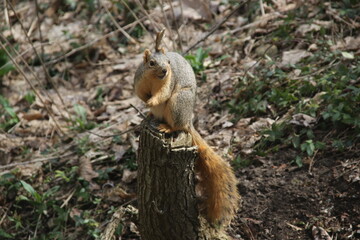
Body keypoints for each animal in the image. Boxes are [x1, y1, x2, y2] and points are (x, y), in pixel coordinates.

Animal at [134, 29, 240, 225]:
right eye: (151, 63)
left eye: (168, 62)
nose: (164, 70)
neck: (154, 79)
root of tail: (188, 121)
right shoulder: (139, 81)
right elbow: (139, 93)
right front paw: (146, 101)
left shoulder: (168, 83)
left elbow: (163, 94)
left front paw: (152, 100)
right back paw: (148, 117)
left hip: (178, 103)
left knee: (178, 126)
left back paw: (167, 127)